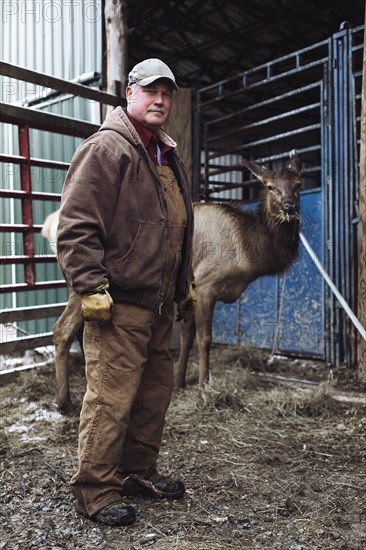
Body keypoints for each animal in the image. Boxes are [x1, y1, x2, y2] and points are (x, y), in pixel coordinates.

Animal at [42, 151, 300, 414]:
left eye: (297, 184)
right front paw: (204, 386)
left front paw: (179, 380)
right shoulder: (207, 286)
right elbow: (204, 339)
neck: (248, 255)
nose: (290, 206)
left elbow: (187, 335)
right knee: (62, 329)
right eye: (269, 186)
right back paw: (64, 401)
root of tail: (48, 226)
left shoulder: (192, 292)